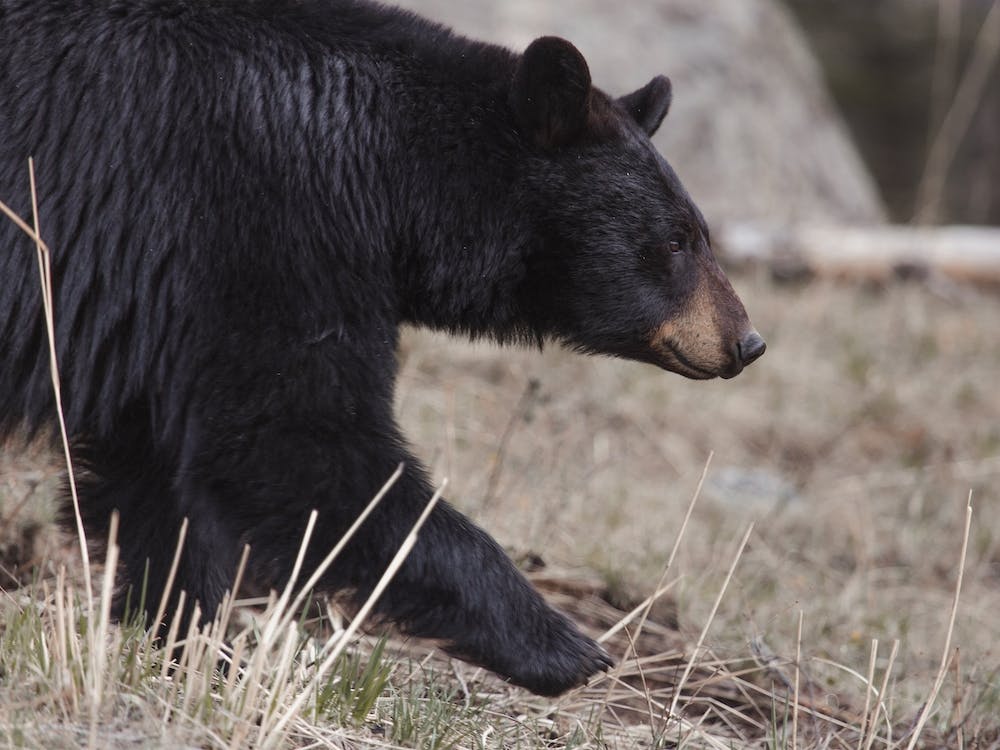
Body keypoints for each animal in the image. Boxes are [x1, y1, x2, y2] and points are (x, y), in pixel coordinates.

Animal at [0, 0, 764, 696]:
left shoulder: (161, 305)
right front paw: (561, 646)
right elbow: (296, 441)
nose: (747, 341)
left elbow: (153, 475)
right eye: (676, 240)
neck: (384, 168)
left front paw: (193, 648)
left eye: (699, 231)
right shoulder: (255, 224)